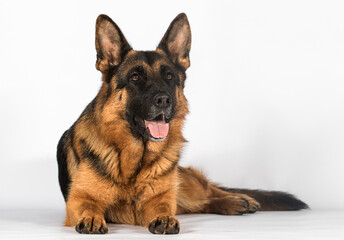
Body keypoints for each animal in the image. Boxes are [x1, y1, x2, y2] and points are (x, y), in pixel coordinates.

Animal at [57, 12, 310, 234]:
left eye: (169, 76)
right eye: (135, 77)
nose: (163, 100)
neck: (135, 161)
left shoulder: (160, 198)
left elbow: (164, 206)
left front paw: (165, 218)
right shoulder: (78, 200)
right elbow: (88, 205)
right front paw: (91, 217)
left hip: (185, 185)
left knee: (208, 191)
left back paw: (240, 199)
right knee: (204, 202)